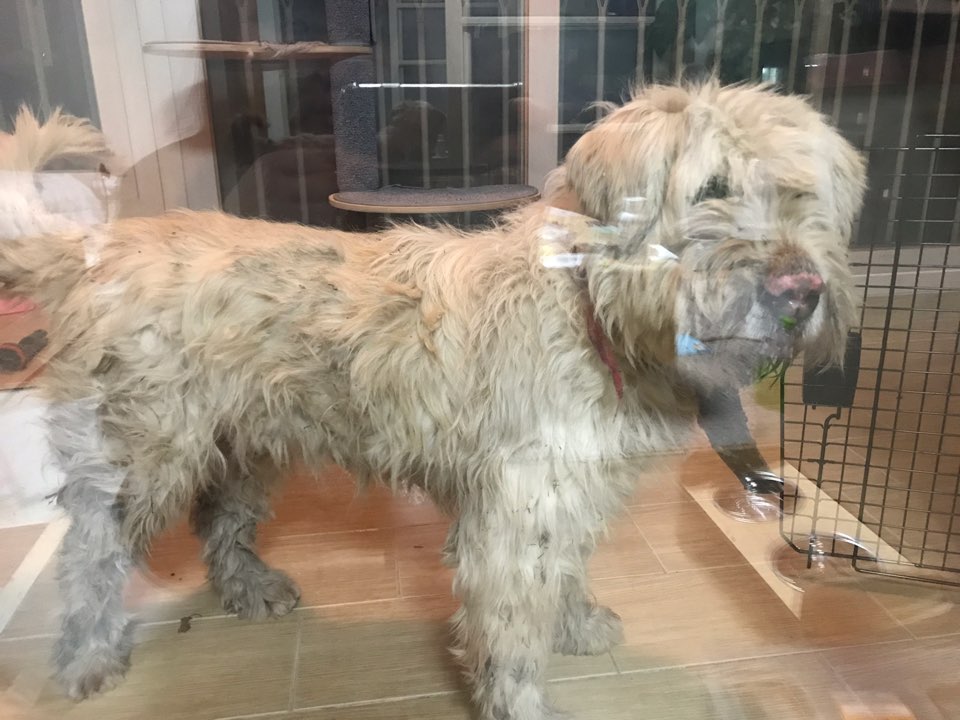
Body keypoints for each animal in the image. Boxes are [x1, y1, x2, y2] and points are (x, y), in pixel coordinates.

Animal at [0, 82, 864, 720]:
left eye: (801, 197)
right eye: (712, 190)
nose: (801, 290)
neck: (588, 307)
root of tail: (93, 249)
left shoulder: (567, 495)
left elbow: (567, 572)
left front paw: (578, 623)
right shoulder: (515, 516)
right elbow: (511, 634)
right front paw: (523, 703)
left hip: (248, 439)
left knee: (219, 518)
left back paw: (250, 589)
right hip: (144, 455)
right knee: (91, 553)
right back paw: (86, 657)